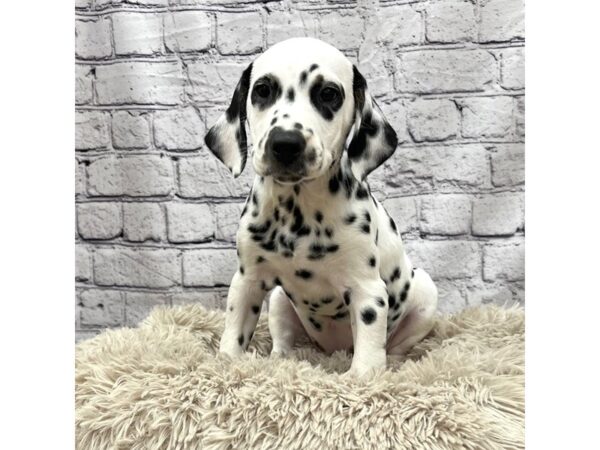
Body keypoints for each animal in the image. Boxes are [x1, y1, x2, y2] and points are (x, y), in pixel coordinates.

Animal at [205, 37, 436, 376]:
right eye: (262, 90)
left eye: (328, 94)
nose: (285, 143)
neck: (297, 210)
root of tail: (333, 351)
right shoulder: (247, 280)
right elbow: (233, 335)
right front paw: (225, 366)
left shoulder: (368, 292)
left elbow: (368, 356)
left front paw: (362, 378)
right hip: (279, 300)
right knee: (283, 340)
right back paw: (280, 359)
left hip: (425, 293)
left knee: (395, 347)